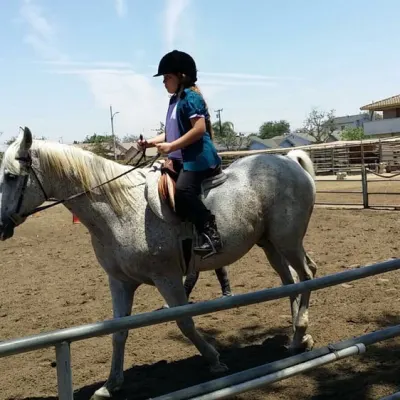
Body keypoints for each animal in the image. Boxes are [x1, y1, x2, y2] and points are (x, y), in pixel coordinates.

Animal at [0, 127, 318, 396]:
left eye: (11, 176)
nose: (1, 224)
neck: (119, 210)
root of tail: (289, 160)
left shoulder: (168, 279)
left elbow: (184, 322)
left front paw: (214, 360)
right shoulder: (120, 282)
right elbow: (118, 332)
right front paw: (110, 385)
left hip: (288, 242)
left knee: (306, 274)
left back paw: (301, 330)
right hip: (270, 244)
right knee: (289, 281)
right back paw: (296, 339)